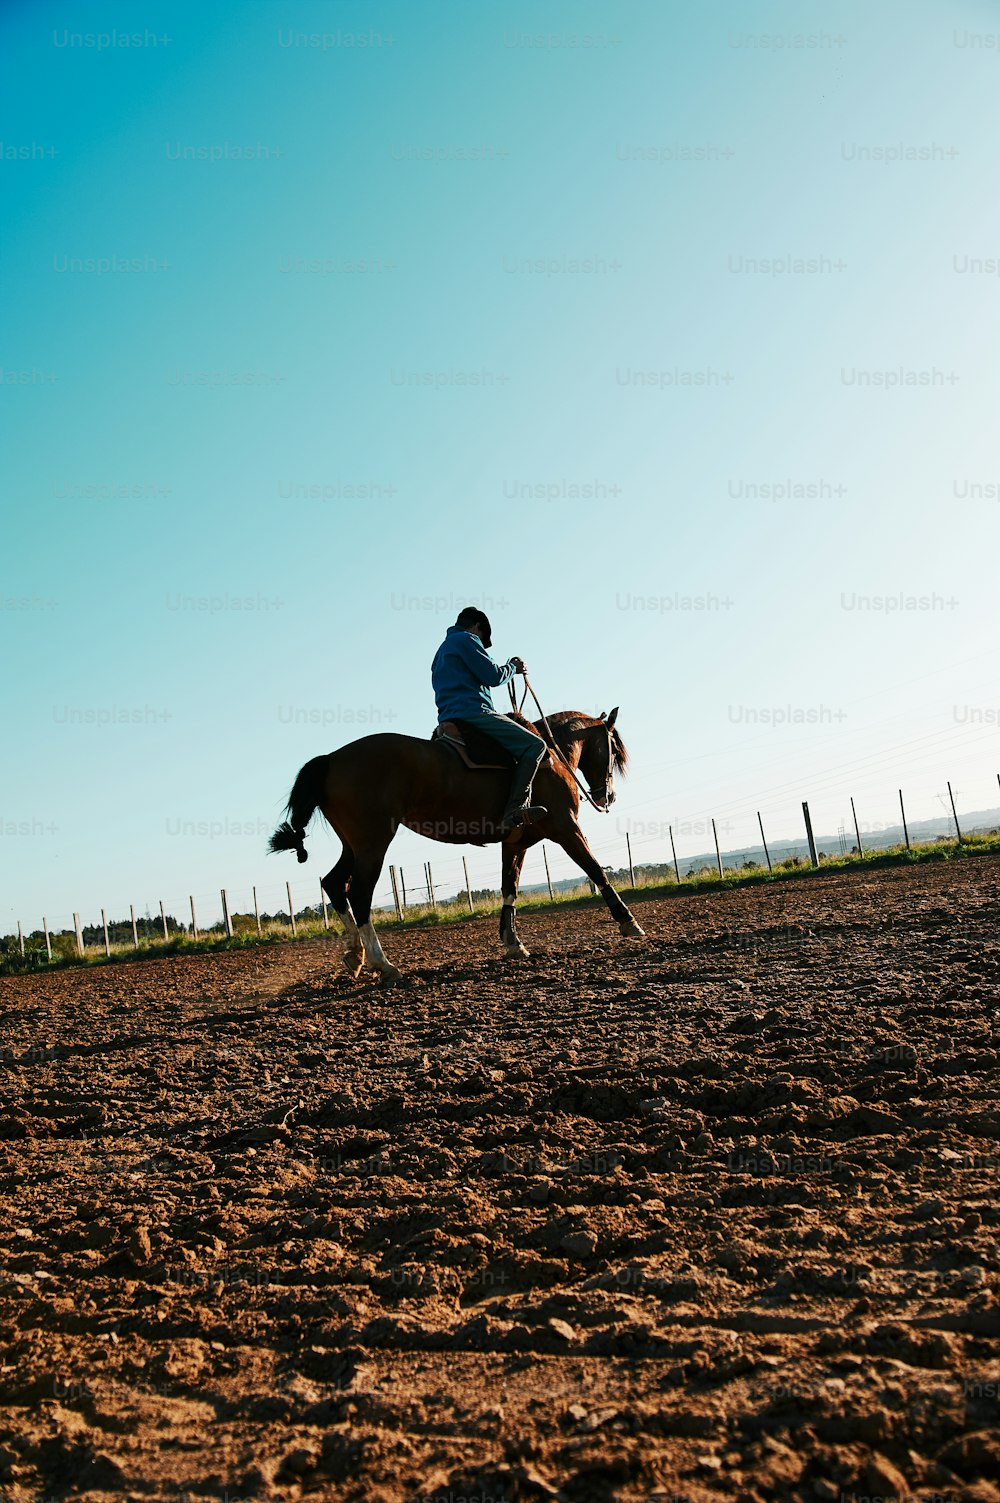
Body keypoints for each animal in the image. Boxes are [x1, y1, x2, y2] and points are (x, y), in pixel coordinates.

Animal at [267, 706, 640, 985]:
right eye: (612, 749)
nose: (607, 796)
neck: (548, 757)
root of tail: (330, 758)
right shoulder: (566, 829)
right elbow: (596, 869)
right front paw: (628, 922)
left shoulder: (515, 842)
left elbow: (510, 887)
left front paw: (512, 942)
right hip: (373, 843)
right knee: (358, 895)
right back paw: (382, 964)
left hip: (354, 844)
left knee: (334, 883)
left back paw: (355, 955)